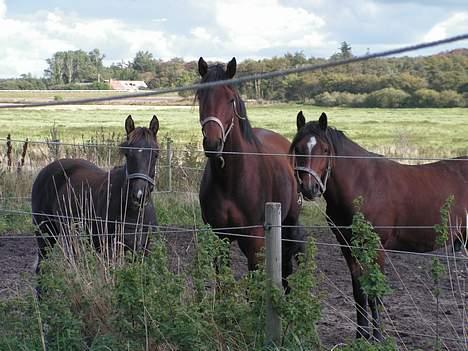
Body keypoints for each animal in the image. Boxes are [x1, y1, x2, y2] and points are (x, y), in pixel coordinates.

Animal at [32, 115, 161, 276]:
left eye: (155, 154)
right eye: (127, 153)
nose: (139, 195)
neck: (132, 214)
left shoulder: (142, 252)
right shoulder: (109, 251)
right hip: (45, 233)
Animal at [197, 57, 304, 288]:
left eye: (230, 99)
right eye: (200, 96)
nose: (212, 143)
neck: (231, 180)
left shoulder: (254, 240)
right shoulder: (219, 236)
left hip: (289, 222)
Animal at [292, 112, 468, 340]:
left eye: (325, 149)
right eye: (298, 147)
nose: (309, 188)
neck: (364, 186)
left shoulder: (376, 247)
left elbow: (375, 291)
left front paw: (378, 337)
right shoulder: (348, 246)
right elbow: (359, 291)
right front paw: (361, 335)